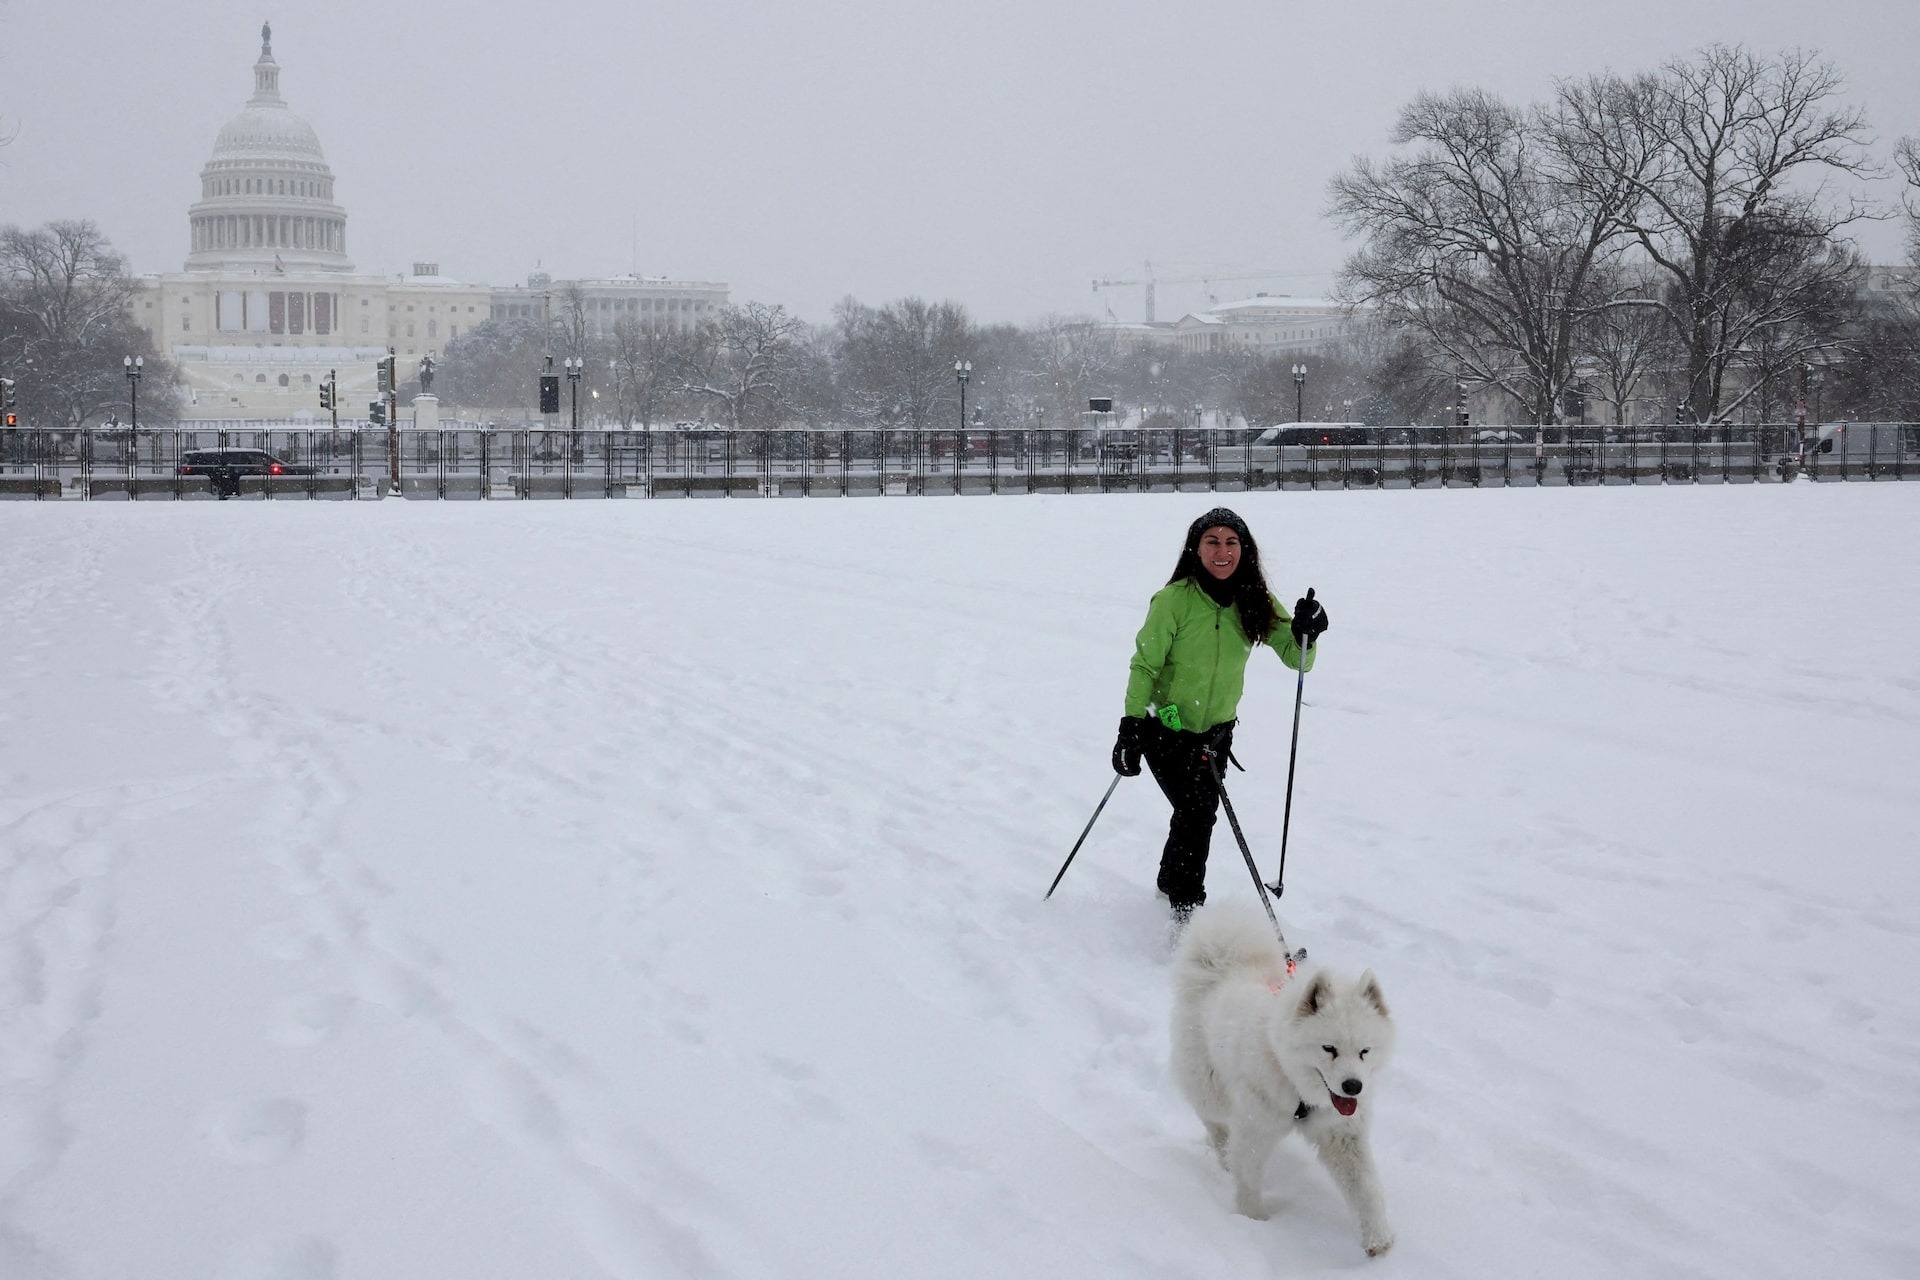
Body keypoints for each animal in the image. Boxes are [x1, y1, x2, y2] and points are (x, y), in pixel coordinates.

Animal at [1167, 905, 1397, 1258]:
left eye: (1364, 1051)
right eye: (1328, 1049)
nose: (1353, 1087)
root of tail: (1224, 967)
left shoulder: (1342, 1135)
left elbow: (1366, 1188)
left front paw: (1378, 1240)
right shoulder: (1255, 1126)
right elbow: (1249, 1176)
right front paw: (1252, 1221)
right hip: (1210, 1086)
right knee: (1214, 1123)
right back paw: (1223, 1155)